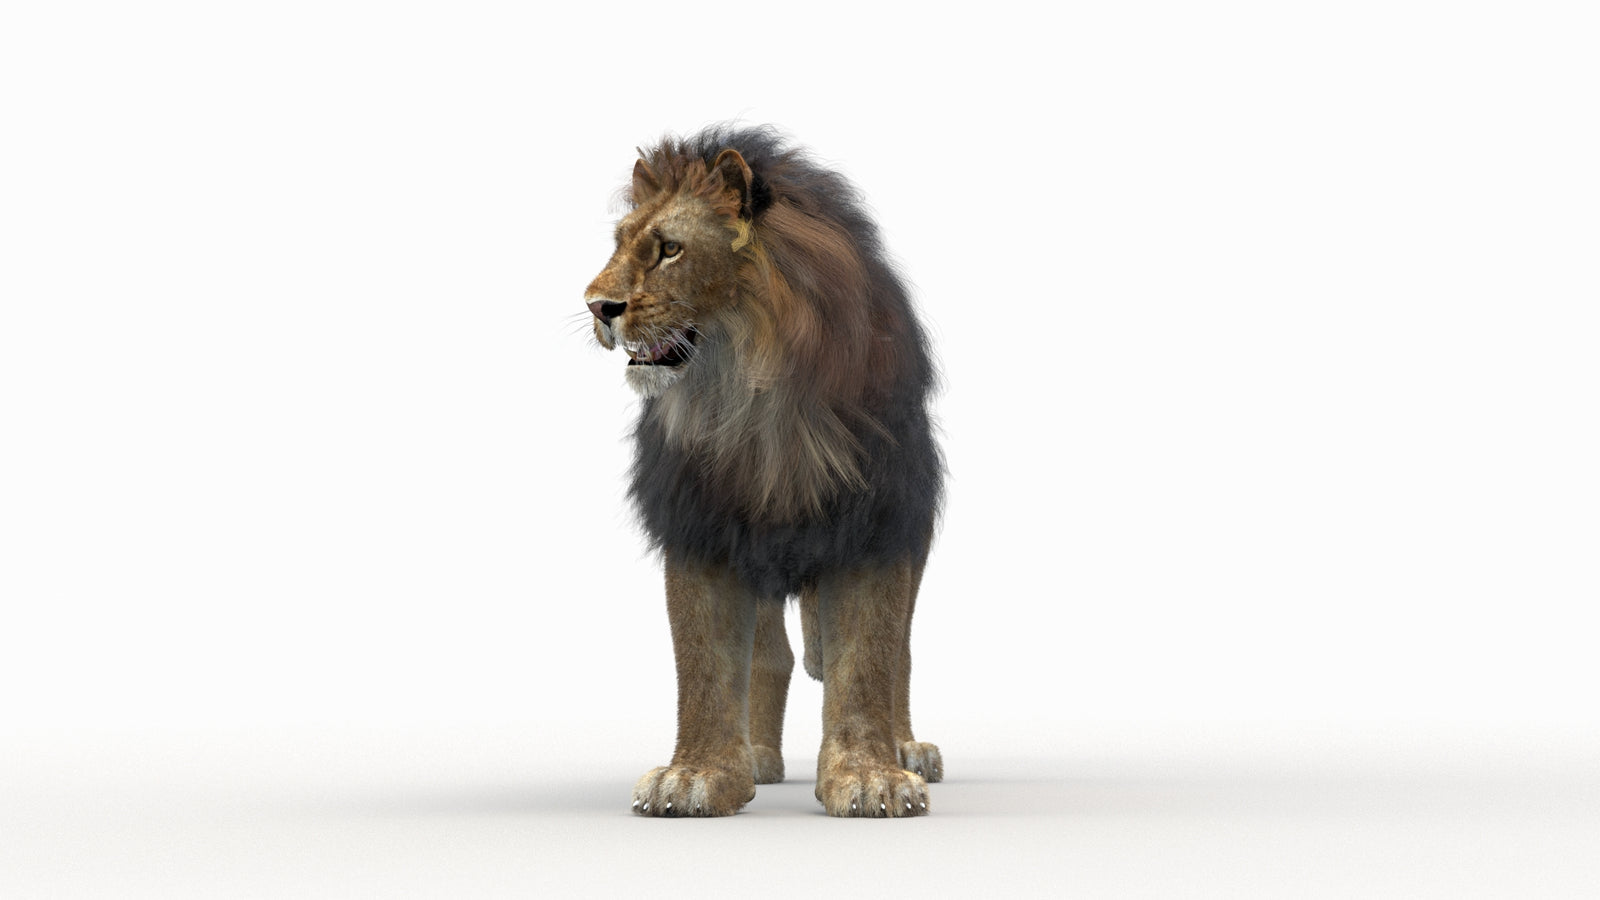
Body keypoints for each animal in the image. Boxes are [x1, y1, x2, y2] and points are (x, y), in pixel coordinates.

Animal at [583, 125, 943, 817]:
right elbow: (703, 662)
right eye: (619, 243)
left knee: (903, 653)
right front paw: (696, 775)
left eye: (670, 249)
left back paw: (908, 748)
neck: (752, 401)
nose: (596, 306)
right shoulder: (702, 522)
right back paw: (756, 756)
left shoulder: (875, 524)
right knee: (770, 655)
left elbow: (870, 658)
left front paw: (872, 778)